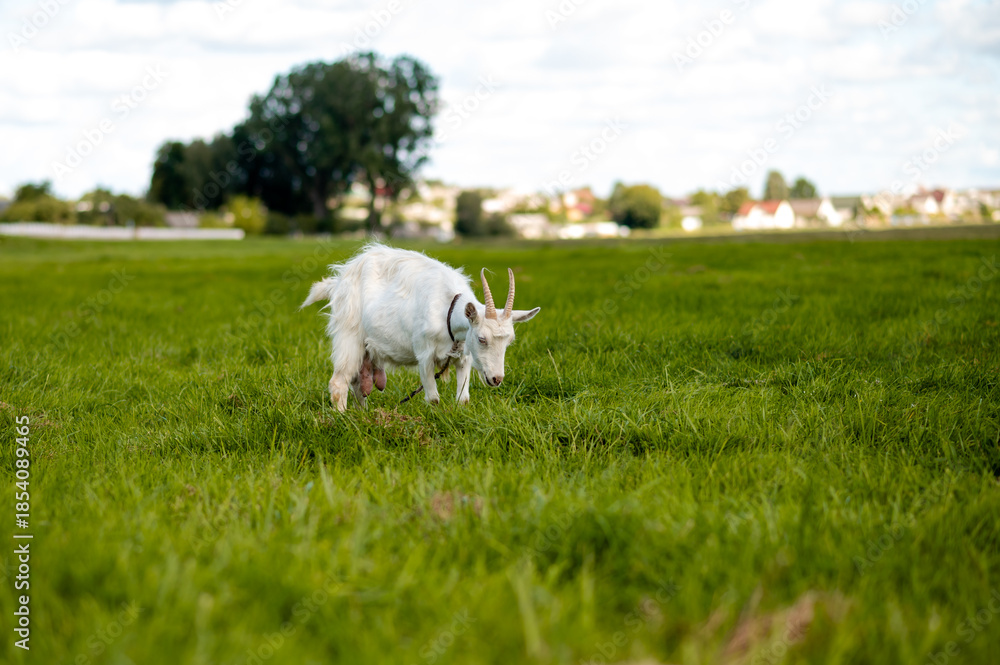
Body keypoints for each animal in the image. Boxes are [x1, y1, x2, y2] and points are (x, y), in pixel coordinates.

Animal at [301, 243, 540, 411]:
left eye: (509, 341)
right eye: (482, 339)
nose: (496, 379)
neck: (447, 312)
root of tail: (339, 280)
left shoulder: (463, 356)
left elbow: (463, 399)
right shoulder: (424, 355)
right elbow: (433, 398)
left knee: (359, 384)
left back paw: (363, 416)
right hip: (348, 335)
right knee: (339, 381)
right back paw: (341, 419)